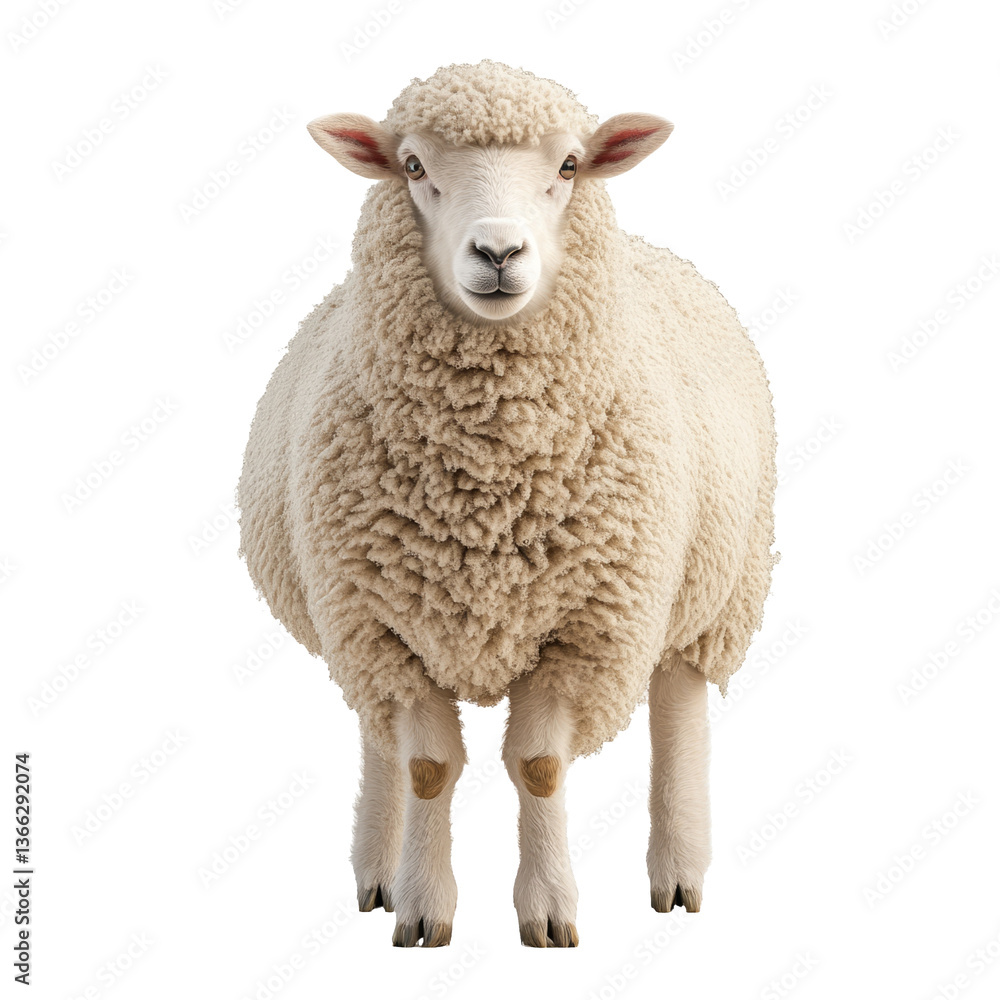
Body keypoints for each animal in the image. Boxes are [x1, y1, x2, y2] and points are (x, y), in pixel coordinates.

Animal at [237, 59, 777, 949]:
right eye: (412, 166)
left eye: (569, 166)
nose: (497, 250)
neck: (486, 482)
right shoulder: (380, 623)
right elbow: (425, 766)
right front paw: (422, 908)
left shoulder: (590, 625)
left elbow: (539, 765)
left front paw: (549, 909)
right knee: (377, 738)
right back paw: (377, 868)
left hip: (712, 589)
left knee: (679, 706)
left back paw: (678, 874)